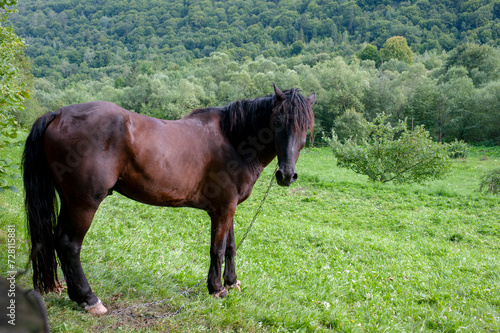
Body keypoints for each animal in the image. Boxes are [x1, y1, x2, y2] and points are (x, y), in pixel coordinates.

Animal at [23, 83, 314, 314]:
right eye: (278, 120)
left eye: (306, 127)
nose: (286, 175)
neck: (234, 140)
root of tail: (58, 114)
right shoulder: (222, 209)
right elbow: (217, 249)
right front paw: (217, 289)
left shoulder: (229, 209)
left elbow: (230, 247)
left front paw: (232, 282)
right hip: (83, 203)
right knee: (69, 245)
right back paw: (89, 299)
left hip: (70, 201)